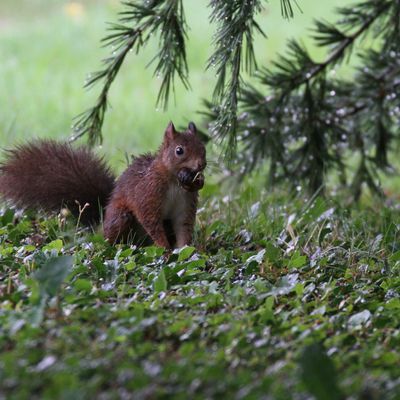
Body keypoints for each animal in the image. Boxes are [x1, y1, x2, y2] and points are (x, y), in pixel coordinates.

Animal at [0, 121, 206, 250]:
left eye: (203, 147)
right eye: (179, 151)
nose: (201, 165)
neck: (174, 181)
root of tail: (103, 221)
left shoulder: (184, 204)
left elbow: (183, 227)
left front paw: (185, 250)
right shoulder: (147, 193)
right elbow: (151, 220)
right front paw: (164, 248)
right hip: (121, 218)